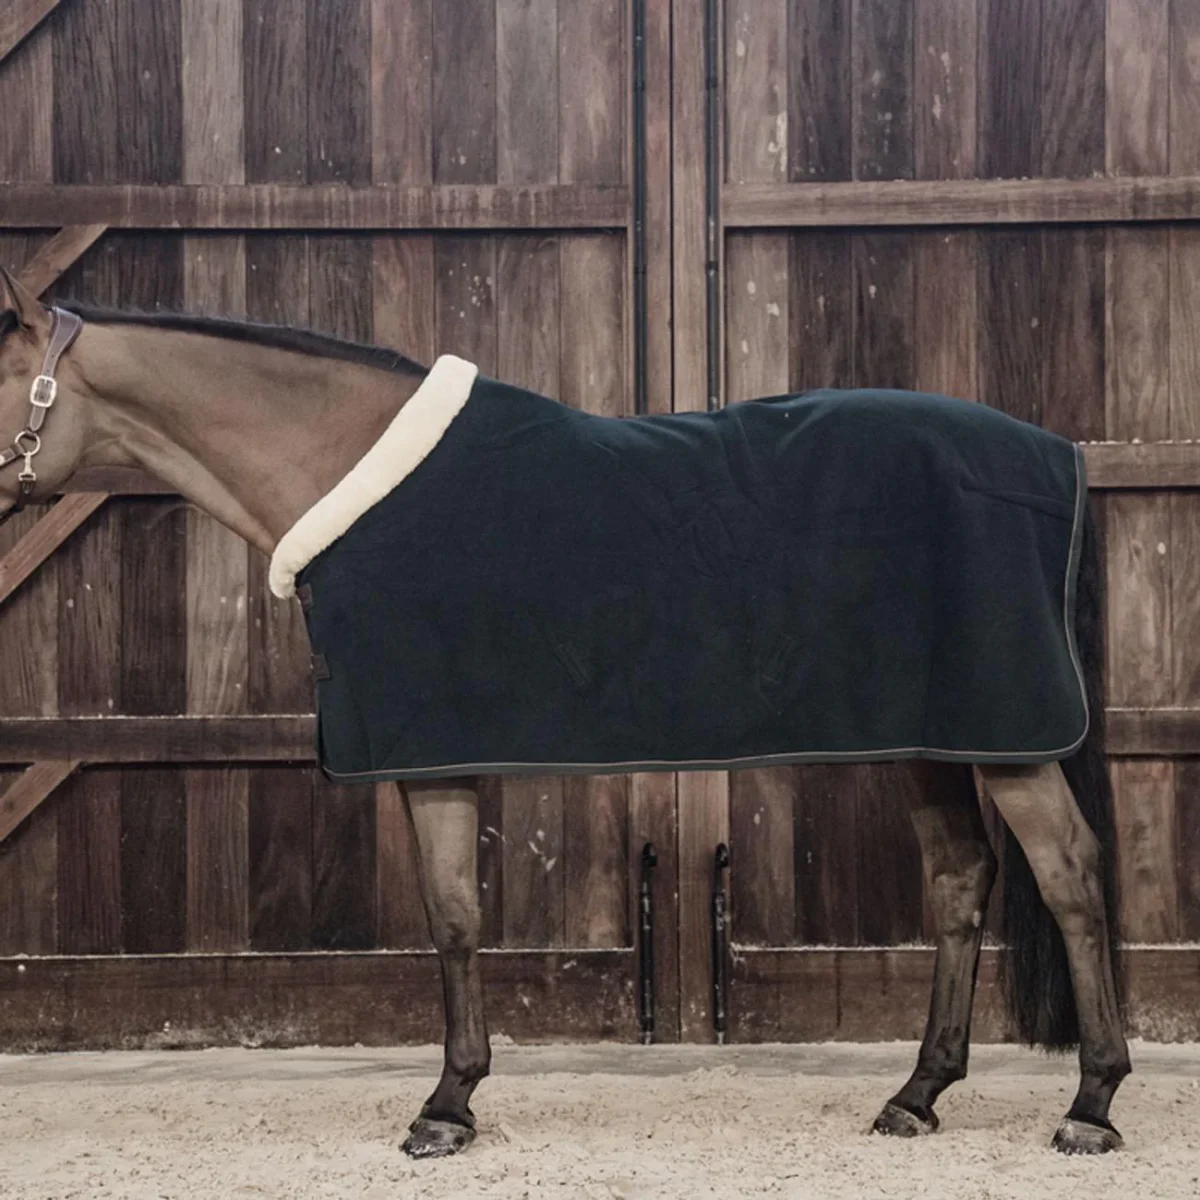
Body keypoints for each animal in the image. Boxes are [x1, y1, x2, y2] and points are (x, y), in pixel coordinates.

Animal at [0, 266, 1129, 1159]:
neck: (356, 471)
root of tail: (1058, 456)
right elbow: (456, 917)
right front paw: (457, 1096)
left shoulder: (431, 748)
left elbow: (453, 919)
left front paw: (445, 1108)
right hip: (935, 733)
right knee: (962, 881)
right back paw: (917, 1096)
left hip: (1008, 740)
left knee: (1072, 879)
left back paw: (1092, 1103)